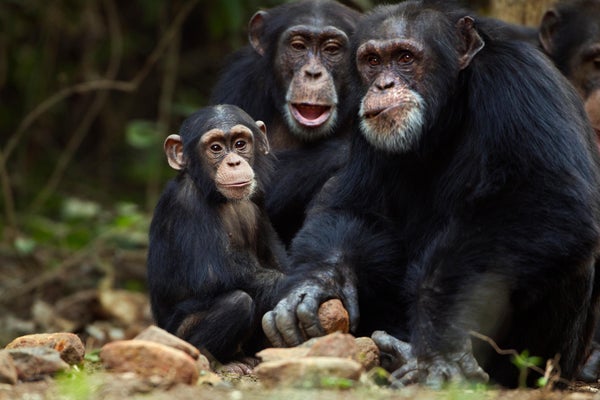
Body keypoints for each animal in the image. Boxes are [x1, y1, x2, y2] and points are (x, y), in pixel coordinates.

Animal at [148, 104, 290, 372]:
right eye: (215, 148)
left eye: (240, 143)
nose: (233, 161)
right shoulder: (186, 204)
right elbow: (211, 275)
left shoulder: (258, 197)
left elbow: (274, 256)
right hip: (176, 337)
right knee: (236, 302)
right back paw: (221, 361)